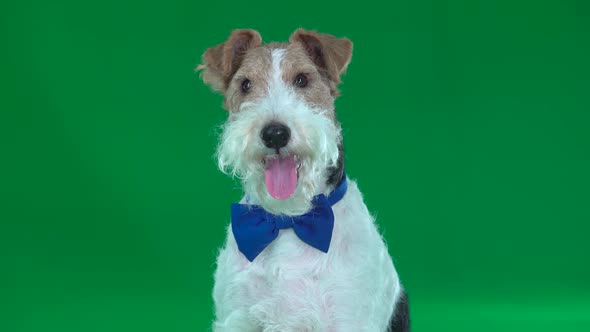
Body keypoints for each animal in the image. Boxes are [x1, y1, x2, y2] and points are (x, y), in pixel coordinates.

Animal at [199, 29, 412, 332]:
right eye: (246, 84)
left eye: (302, 79)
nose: (275, 134)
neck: (288, 220)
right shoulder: (237, 317)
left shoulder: (349, 319)